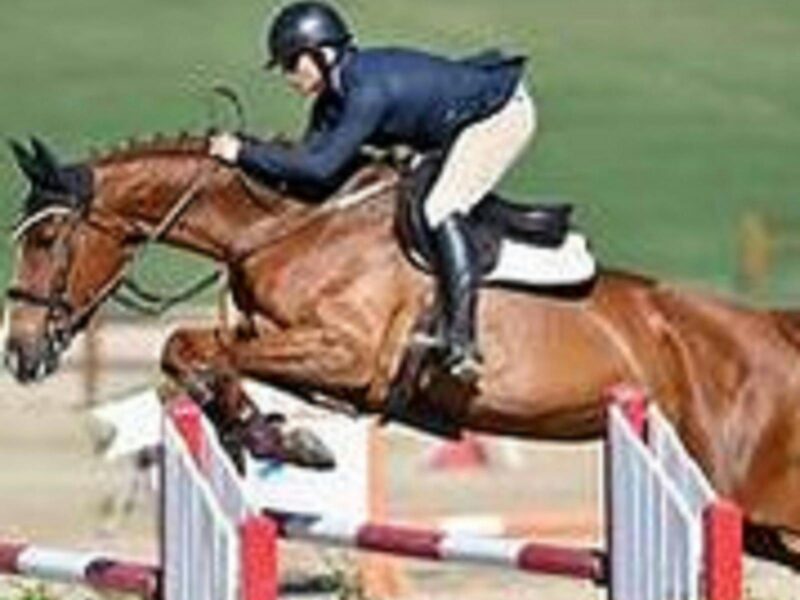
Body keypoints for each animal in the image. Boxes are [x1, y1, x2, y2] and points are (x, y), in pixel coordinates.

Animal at [4, 134, 800, 568]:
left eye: (46, 239)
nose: (19, 353)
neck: (285, 225)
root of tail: (769, 329)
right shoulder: (284, 344)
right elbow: (196, 352)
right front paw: (267, 433)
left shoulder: (349, 355)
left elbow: (187, 343)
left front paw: (279, 437)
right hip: (757, 521)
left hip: (758, 495)